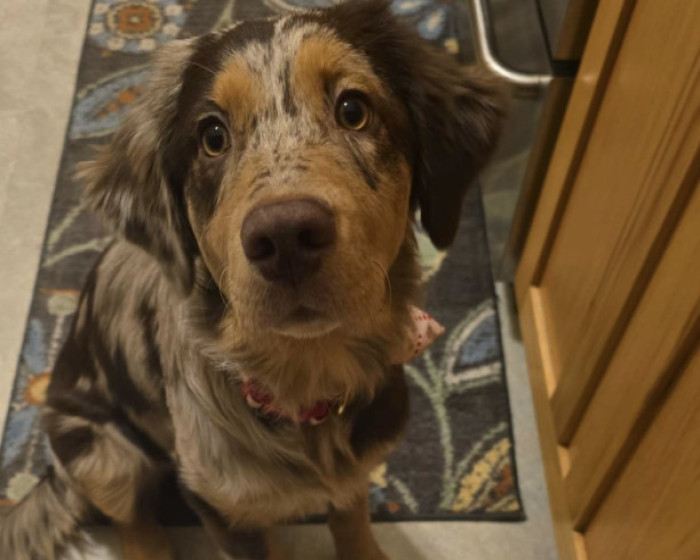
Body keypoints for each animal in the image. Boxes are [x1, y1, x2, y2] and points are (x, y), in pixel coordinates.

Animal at [0, 1, 505, 558]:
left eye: (353, 109)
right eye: (212, 137)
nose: (285, 237)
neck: (307, 381)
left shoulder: (356, 470)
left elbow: (353, 522)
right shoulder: (221, 502)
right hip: (100, 452)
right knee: (132, 521)